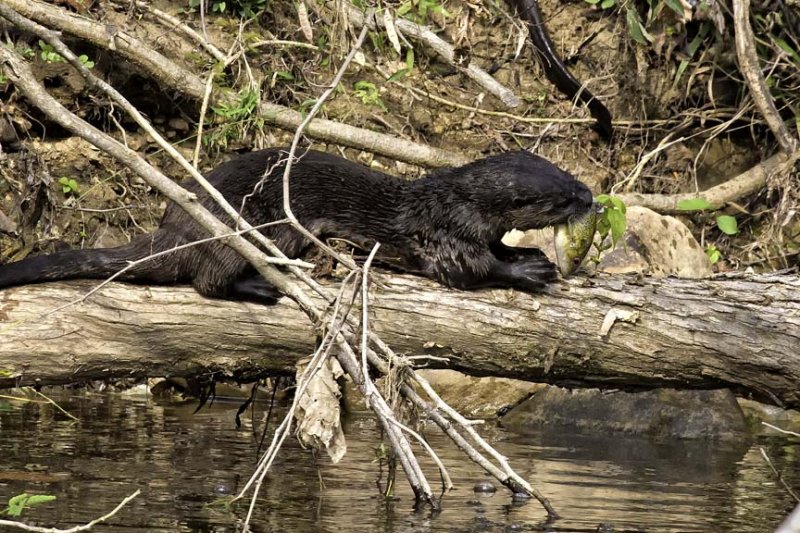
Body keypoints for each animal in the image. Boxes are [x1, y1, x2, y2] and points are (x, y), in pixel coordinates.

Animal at [0, 149, 592, 304]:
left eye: (568, 174)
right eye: (560, 198)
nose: (588, 194)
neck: (455, 201)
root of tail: (173, 229)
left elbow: (497, 249)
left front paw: (526, 255)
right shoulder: (443, 234)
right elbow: (470, 270)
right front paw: (528, 271)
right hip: (253, 230)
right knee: (207, 282)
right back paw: (264, 286)